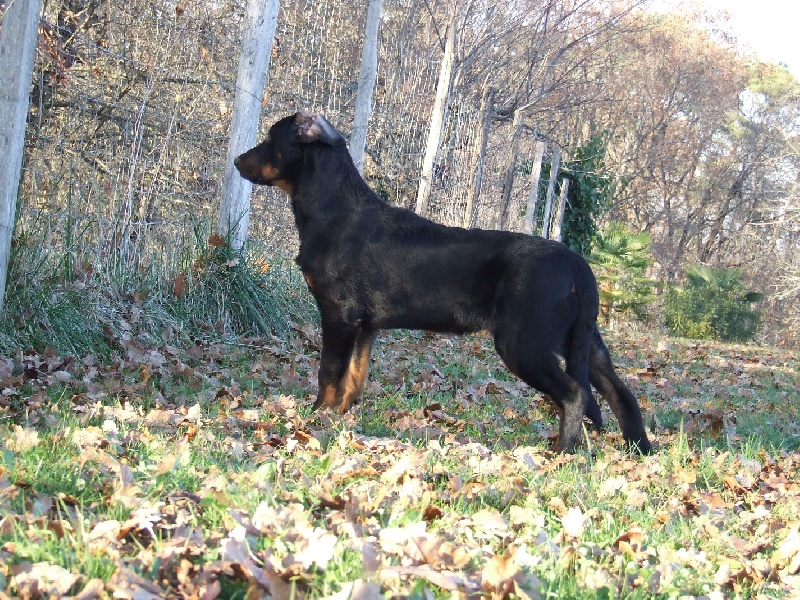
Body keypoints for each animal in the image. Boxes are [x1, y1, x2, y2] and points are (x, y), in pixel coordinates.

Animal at [233, 110, 648, 452]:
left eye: (271, 137)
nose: (236, 160)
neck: (331, 210)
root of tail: (578, 264)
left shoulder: (339, 315)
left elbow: (329, 372)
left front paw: (316, 417)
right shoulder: (366, 326)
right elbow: (354, 377)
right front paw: (342, 418)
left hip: (524, 343)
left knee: (576, 394)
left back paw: (564, 451)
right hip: (584, 341)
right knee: (622, 395)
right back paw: (639, 450)